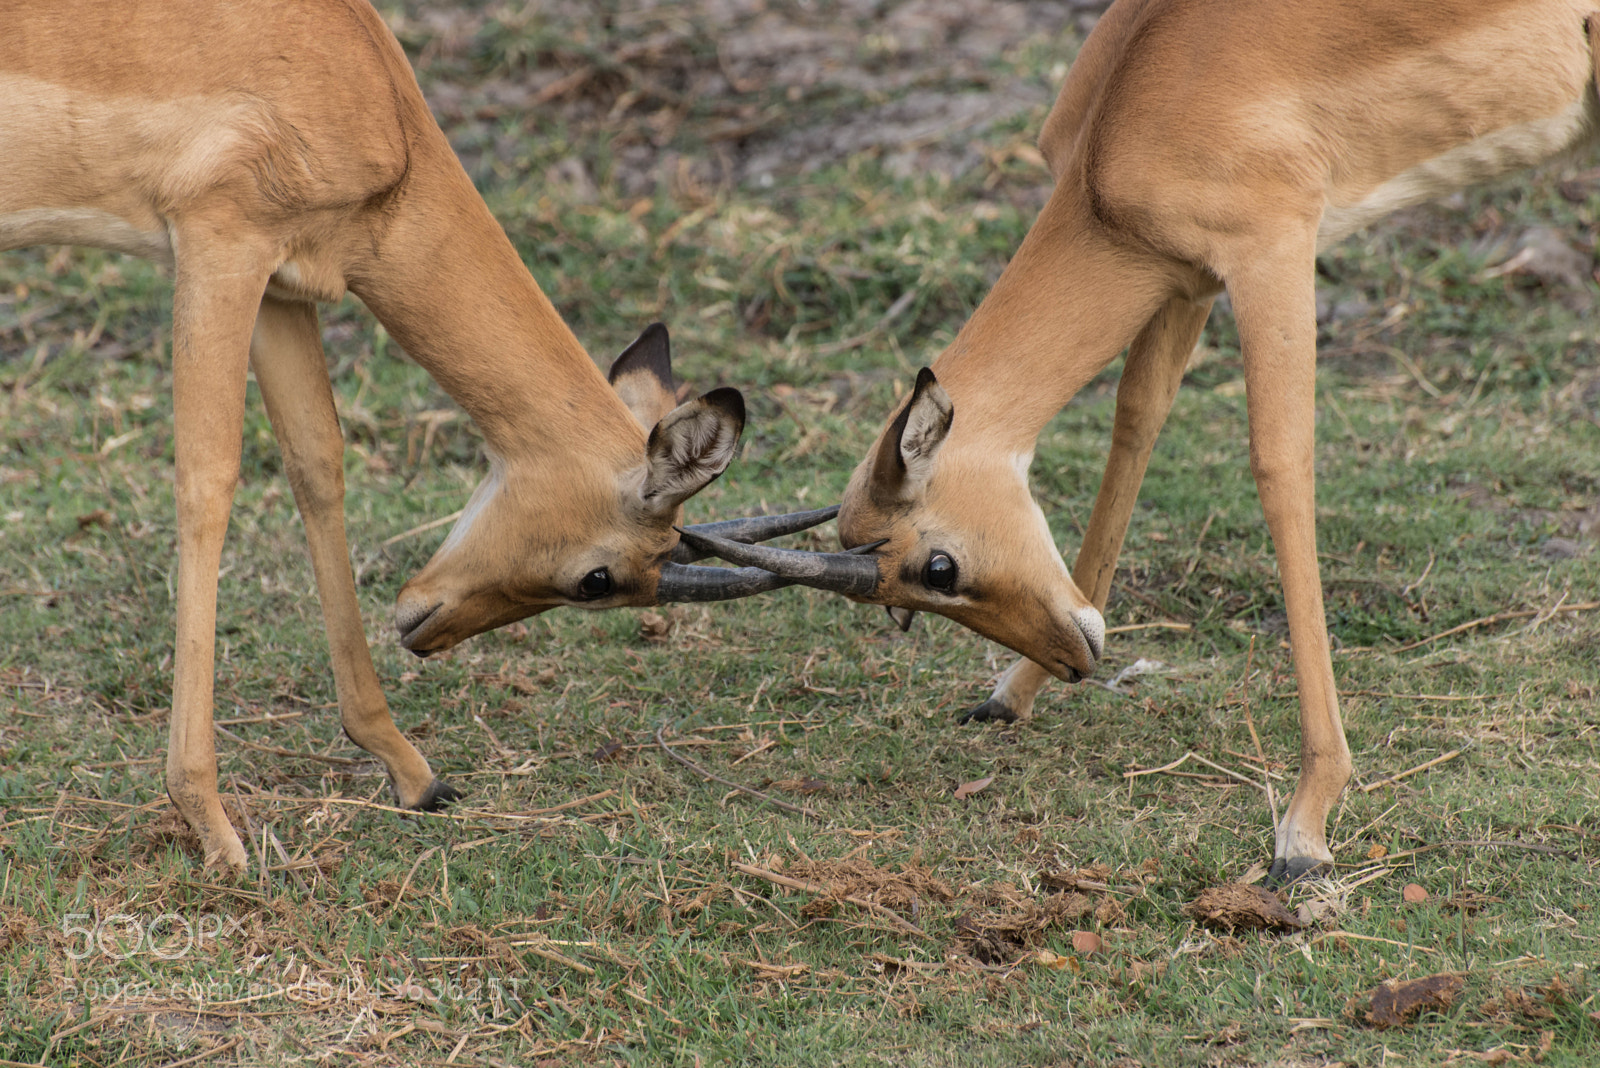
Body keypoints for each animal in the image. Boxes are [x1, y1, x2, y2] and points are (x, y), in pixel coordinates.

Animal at [1, 0, 832, 873]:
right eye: (597, 579)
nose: (423, 633)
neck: (371, 88)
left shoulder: (285, 287)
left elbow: (318, 466)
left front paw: (413, 773)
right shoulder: (219, 245)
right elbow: (209, 483)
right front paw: (214, 827)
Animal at [679, 0, 1600, 883]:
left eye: (937, 567)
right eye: (897, 611)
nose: (1077, 661)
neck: (1122, 123)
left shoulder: (1272, 250)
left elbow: (1279, 466)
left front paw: (1303, 833)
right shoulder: (1179, 277)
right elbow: (1135, 424)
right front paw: (1009, 695)